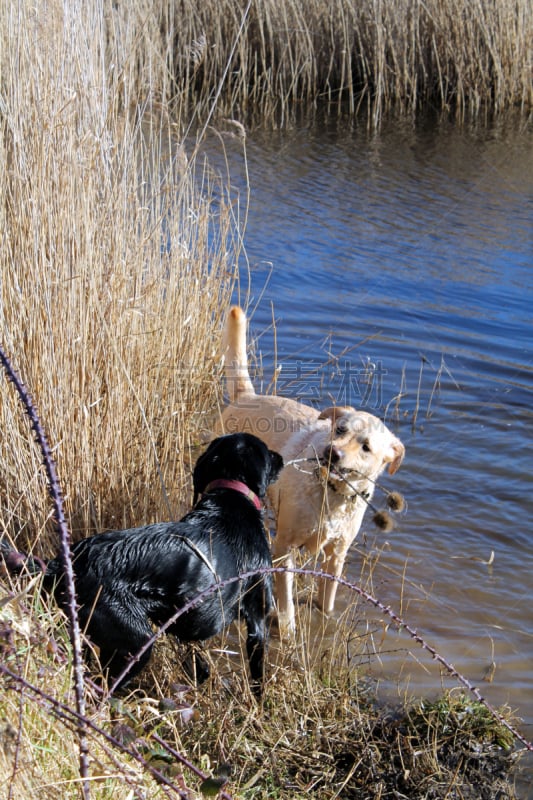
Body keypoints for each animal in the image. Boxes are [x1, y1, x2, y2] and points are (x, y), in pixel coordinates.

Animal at [2, 434, 284, 692]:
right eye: (267, 451)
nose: (280, 457)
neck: (230, 495)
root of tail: (63, 565)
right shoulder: (257, 618)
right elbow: (258, 675)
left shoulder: (184, 618)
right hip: (135, 643)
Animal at [220, 306, 404, 632]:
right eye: (340, 429)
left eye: (366, 447)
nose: (332, 452)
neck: (332, 495)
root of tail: (247, 396)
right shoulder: (285, 547)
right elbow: (287, 599)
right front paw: (289, 628)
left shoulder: (336, 556)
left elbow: (326, 601)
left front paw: (326, 621)